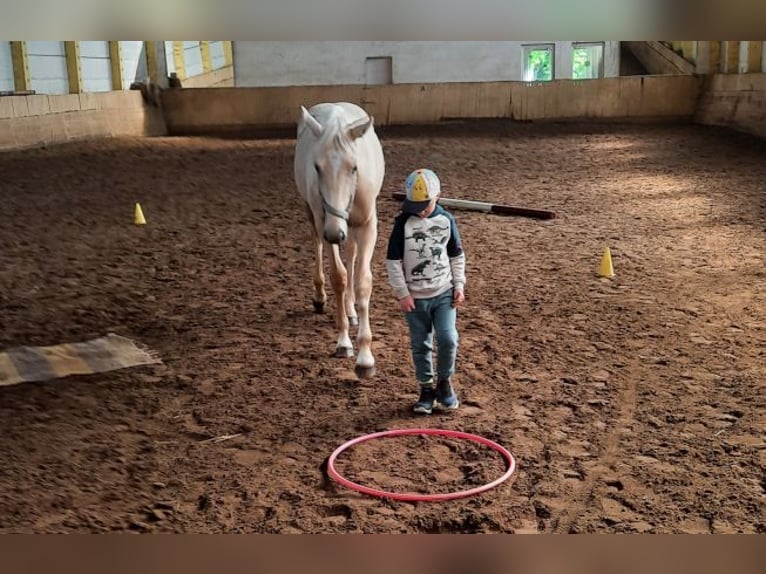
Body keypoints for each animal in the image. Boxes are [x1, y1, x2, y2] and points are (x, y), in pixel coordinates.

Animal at [293, 102, 385, 379]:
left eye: (354, 167)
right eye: (317, 167)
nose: (336, 233)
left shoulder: (367, 226)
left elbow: (363, 282)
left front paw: (365, 358)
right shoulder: (326, 223)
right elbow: (339, 277)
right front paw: (344, 342)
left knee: (352, 254)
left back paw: (351, 310)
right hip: (313, 215)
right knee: (318, 245)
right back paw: (321, 298)